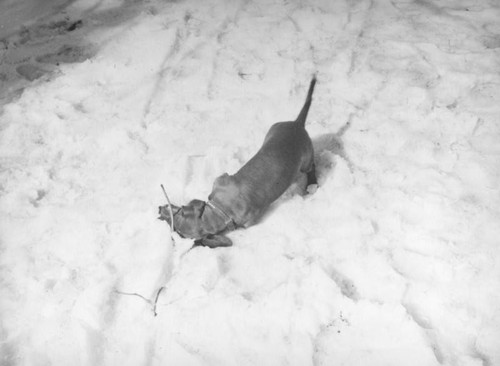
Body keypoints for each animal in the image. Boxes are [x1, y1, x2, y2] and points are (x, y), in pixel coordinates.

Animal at [158, 77, 318, 249]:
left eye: (179, 211)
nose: (159, 209)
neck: (222, 211)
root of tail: (297, 124)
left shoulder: (223, 181)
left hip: (305, 159)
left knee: (312, 168)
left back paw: (312, 184)